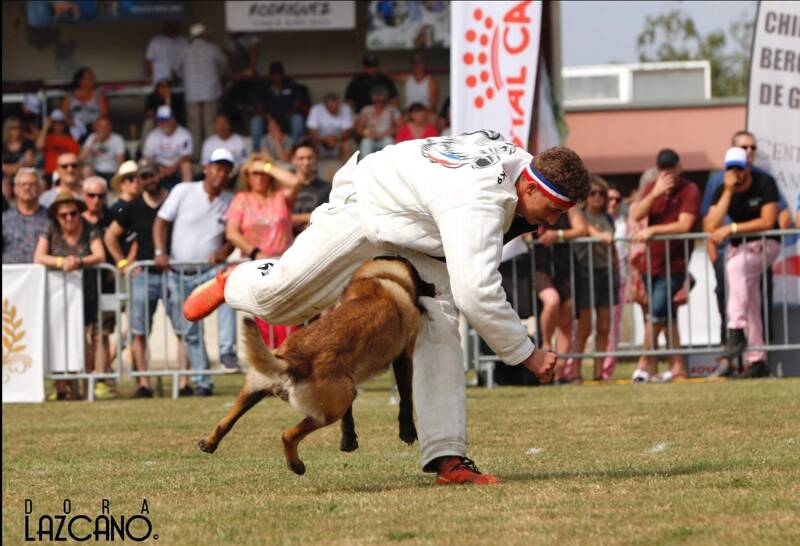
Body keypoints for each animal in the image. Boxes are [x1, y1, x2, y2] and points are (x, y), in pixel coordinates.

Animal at [200, 255, 438, 472]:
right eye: (419, 276)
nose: (434, 286)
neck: (378, 279)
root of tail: (294, 361)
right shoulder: (404, 357)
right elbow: (405, 398)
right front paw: (407, 431)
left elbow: (348, 418)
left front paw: (348, 441)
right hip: (332, 406)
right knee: (287, 435)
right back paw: (296, 465)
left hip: (257, 389)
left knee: (227, 420)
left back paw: (209, 443)